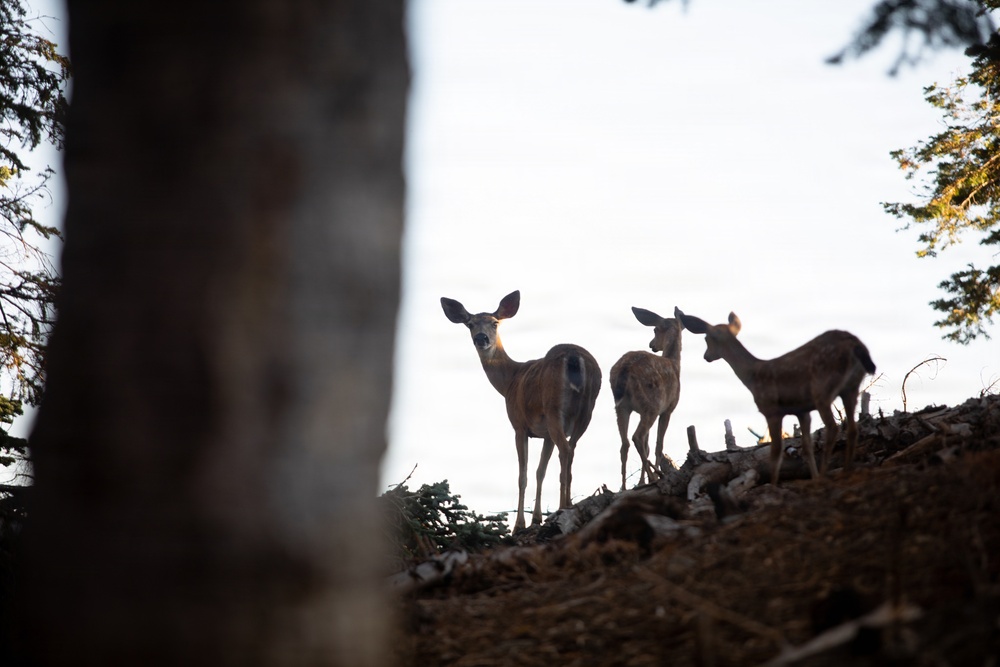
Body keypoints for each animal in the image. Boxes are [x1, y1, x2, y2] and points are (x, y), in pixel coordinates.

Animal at [440, 290, 602, 531]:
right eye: (470, 324)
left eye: (495, 323)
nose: (481, 338)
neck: (509, 381)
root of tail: (575, 357)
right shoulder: (545, 434)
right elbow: (540, 472)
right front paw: (536, 519)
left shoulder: (519, 425)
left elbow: (522, 476)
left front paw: (519, 525)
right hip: (587, 410)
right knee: (571, 451)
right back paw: (568, 504)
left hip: (554, 407)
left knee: (565, 451)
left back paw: (563, 507)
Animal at [610, 307, 684, 491]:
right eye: (655, 329)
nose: (652, 345)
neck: (675, 364)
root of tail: (625, 368)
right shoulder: (668, 409)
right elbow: (658, 446)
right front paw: (648, 478)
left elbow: (648, 445)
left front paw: (641, 482)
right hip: (651, 405)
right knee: (637, 437)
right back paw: (654, 476)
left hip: (622, 406)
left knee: (625, 444)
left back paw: (623, 487)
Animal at [673, 308, 876, 485]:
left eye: (707, 338)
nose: (706, 356)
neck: (753, 377)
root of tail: (856, 344)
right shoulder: (802, 411)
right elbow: (807, 447)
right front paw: (813, 476)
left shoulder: (771, 409)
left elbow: (776, 451)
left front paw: (773, 483)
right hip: (851, 387)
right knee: (852, 428)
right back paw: (846, 470)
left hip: (822, 387)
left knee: (833, 427)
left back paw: (827, 473)